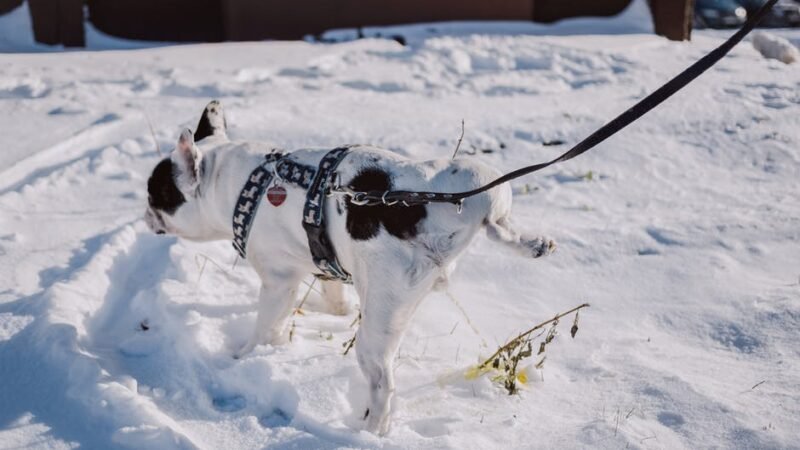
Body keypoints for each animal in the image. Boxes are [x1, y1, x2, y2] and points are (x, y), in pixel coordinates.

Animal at [144, 100, 556, 434]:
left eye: (155, 194)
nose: (145, 213)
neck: (239, 181)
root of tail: (434, 210)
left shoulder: (278, 281)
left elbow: (265, 327)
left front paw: (243, 356)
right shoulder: (324, 259)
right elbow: (333, 295)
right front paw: (330, 310)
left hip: (380, 314)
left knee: (382, 382)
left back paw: (369, 429)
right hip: (482, 180)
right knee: (501, 224)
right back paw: (534, 244)